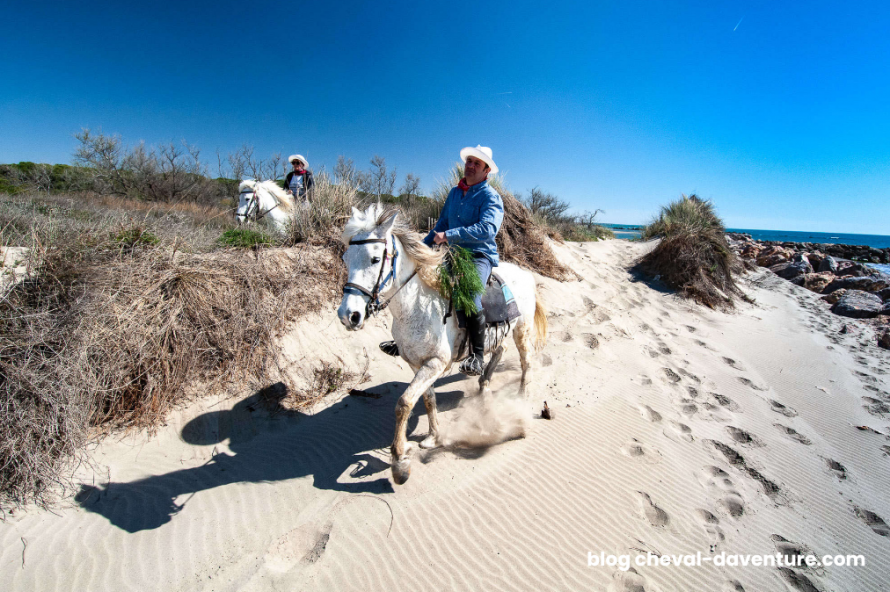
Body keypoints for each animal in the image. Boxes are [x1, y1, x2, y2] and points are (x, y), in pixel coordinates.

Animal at [337, 203, 548, 484]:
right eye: (346, 259)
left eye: (374, 259)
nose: (348, 315)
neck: (419, 304)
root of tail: (524, 272)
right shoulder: (418, 364)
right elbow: (427, 399)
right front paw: (433, 437)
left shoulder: (435, 363)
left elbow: (404, 403)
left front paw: (399, 461)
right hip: (500, 333)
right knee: (499, 351)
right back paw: (483, 384)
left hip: (522, 330)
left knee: (526, 363)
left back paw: (521, 401)